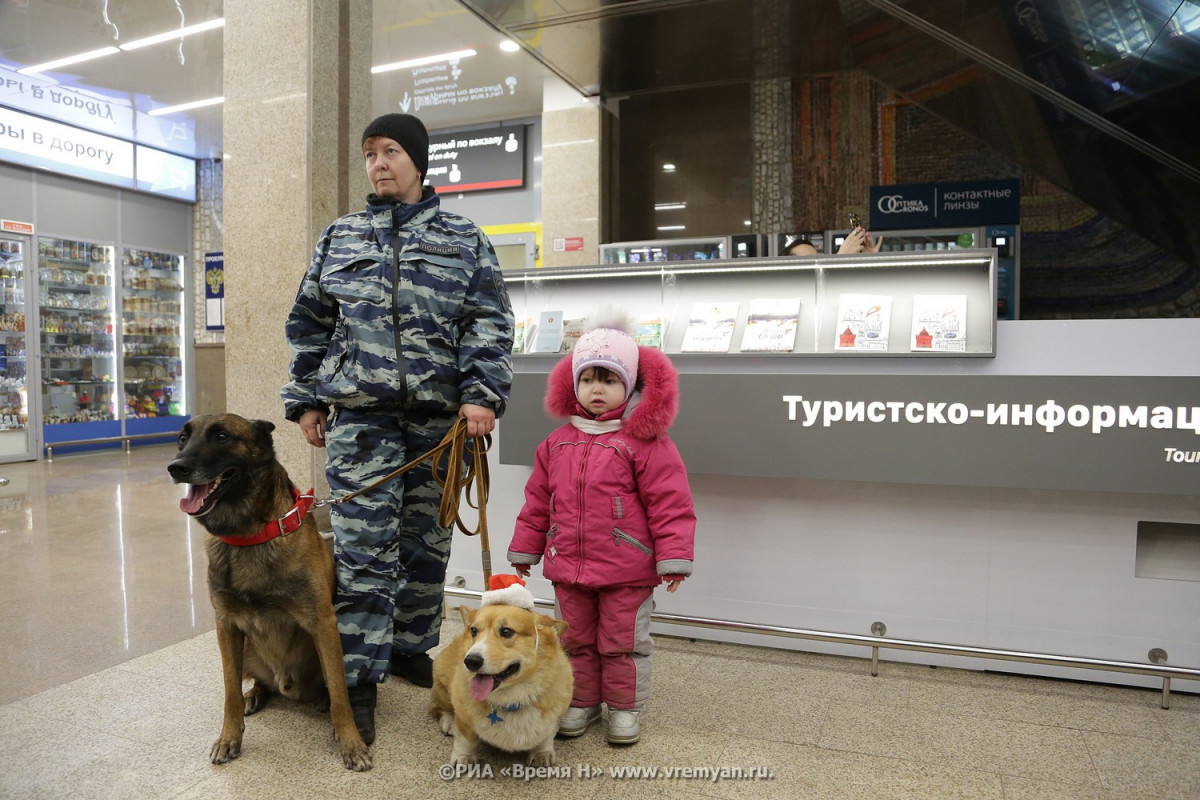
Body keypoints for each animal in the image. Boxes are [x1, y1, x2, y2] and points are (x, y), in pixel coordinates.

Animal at [166, 412, 367, 767]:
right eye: (182, 439)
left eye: (221, 436)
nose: (175, 467)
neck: (249, 536)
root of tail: (284, 683)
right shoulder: (226, 627)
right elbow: (230, 692)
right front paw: (229, 737)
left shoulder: (323, 624)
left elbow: (340, 694)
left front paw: (351, 743)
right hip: (246, 648)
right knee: (258, 684)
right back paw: (255, 694)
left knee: (328, 687)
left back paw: (320, 701)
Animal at [432, 585, 571, 767]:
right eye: (474, 631)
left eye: (506, 631)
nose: (470, 661)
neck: (512, 699)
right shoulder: (464, 717)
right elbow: (465, 738)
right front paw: (464, 757)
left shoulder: (553, 719)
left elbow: (546, 737)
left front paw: (542, 753)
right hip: (442, 685)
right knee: (439, 707)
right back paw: (449, 722)